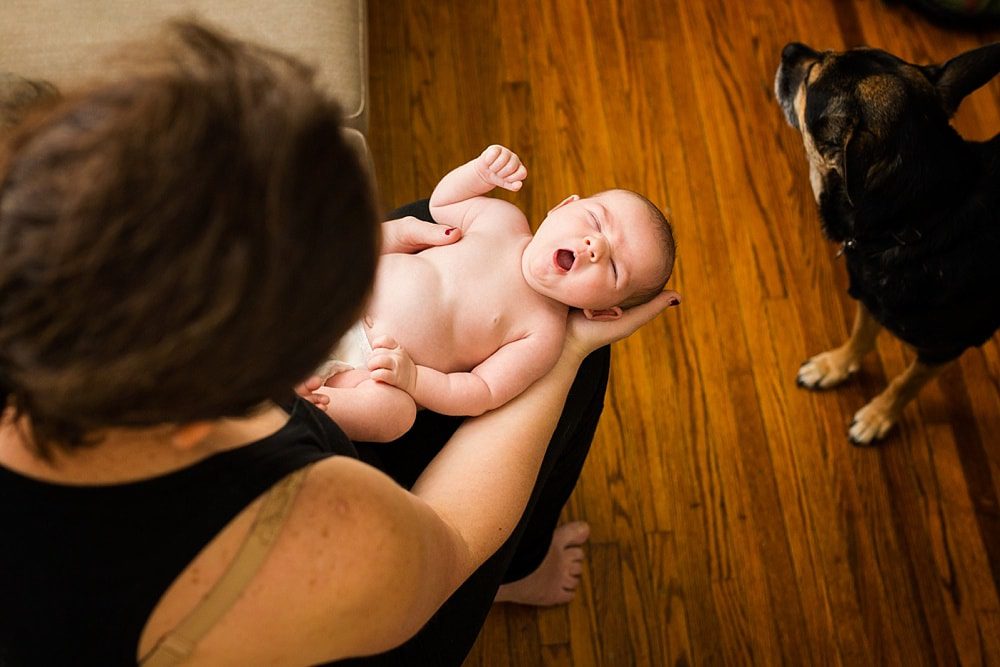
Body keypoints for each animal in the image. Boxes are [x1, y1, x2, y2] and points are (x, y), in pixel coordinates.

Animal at [776, 44, 1000, 446]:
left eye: (810, 77)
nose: (790, 49)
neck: (923, 219)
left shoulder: (944, 348)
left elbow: (905, 383)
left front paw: (878, 416)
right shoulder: (870, 296)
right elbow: (861, 336)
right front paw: (835, 366)